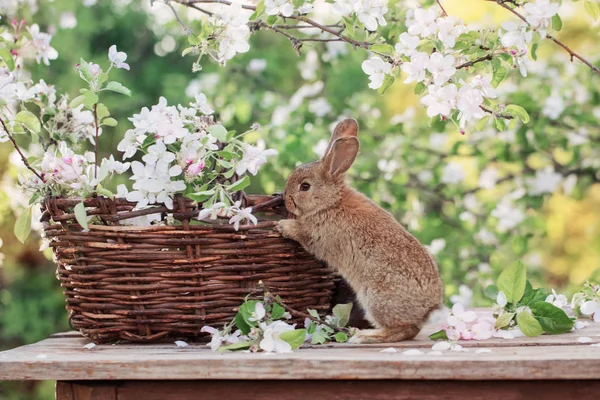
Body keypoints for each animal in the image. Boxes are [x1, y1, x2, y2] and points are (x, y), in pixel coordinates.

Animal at [278, 119, 442, 344]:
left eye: (305, 187)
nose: (286, 200)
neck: (331, 203)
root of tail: (430, 306)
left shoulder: (318, 236)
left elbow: (302, 233)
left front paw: (282, 226)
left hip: (376, 299)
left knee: (404, 329)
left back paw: (365, 336)